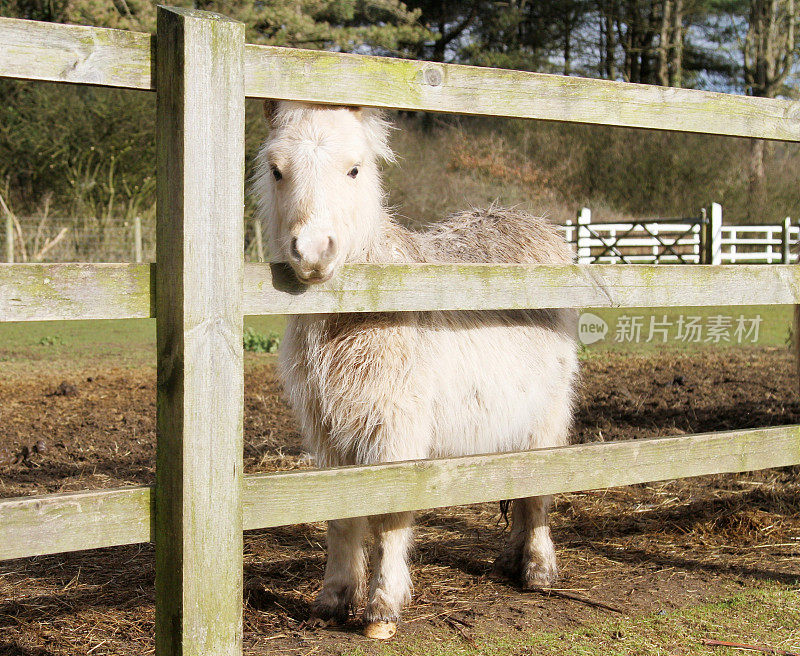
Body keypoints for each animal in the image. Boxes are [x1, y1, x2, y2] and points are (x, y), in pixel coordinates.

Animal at [255, 102, 576, 640]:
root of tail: (524, 219)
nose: (314, 251)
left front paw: (382, 611)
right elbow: (340, 515)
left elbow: (389, 517)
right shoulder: (328, 432)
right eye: (277, 170)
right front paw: (332, 600)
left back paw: (538, 570)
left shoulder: (397, 430)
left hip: (548, 414)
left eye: (354, 169)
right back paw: (509, 561)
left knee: (538, 492)